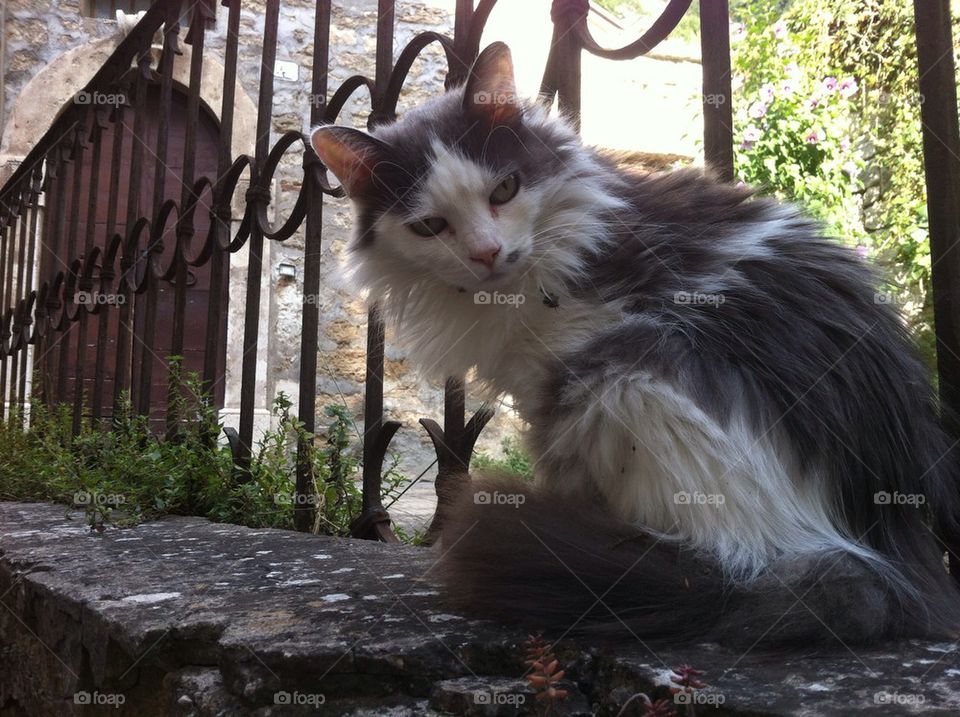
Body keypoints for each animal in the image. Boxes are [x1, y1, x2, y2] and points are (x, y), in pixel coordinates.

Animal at [314, 42, 960, 648]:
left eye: (504, 190)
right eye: (430, 226)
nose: (486, 253)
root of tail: (895, 567)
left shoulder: (560, 369)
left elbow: (558, 468)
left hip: (623, 380)